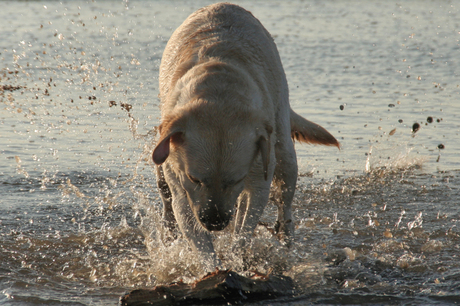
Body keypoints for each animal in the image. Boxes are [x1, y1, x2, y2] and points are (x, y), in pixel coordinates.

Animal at [153, 3, 340, 268]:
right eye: (195, 178)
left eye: (235, 179)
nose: (215, 222)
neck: (217, 95)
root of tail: (223, 4)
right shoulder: (181, 186)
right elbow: (196, 234)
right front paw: (213, 267)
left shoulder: (258, 178)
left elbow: (244, 229)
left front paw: (237, 258)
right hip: (161, 162)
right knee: (166, 197)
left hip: (283, 152)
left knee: (284, 204)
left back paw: (285, 239)